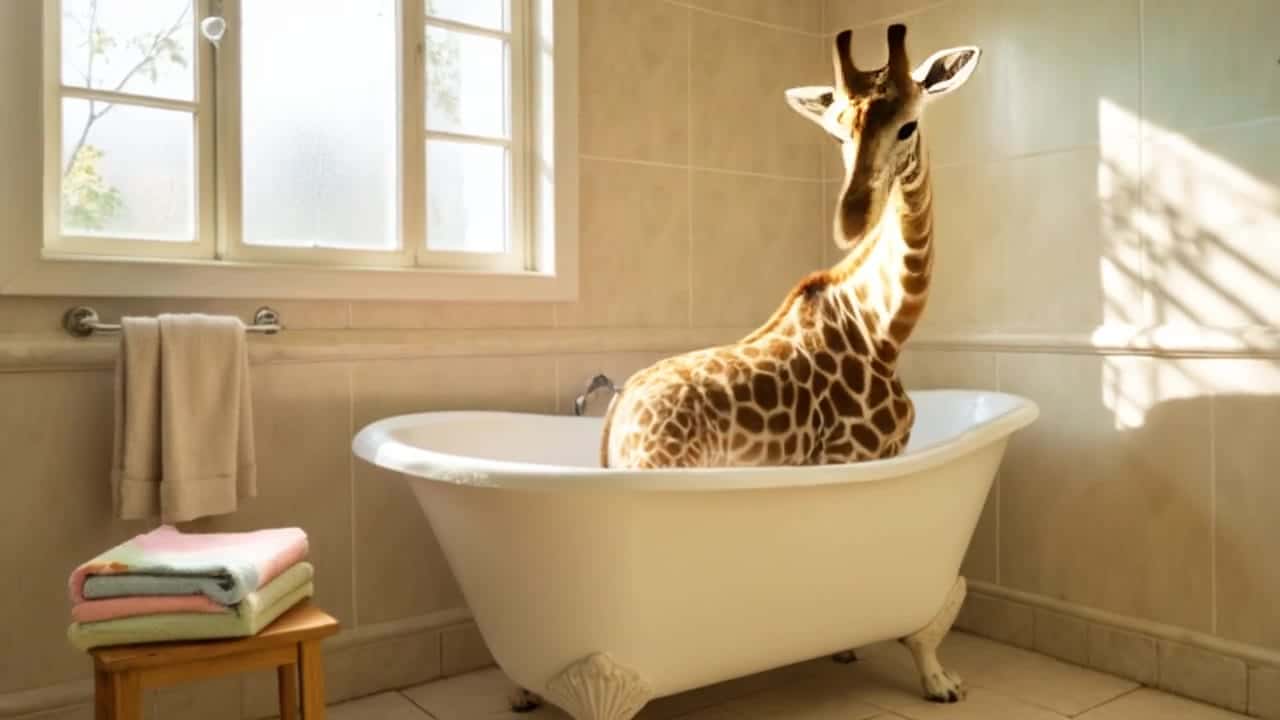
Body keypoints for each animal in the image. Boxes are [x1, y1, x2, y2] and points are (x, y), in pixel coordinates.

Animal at [599, 24, 982, 474]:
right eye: (836, 134)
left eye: (908, 125)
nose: (850, 221)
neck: (884, 331)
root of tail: (613, 424)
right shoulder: (847, 456)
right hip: (661, 463)